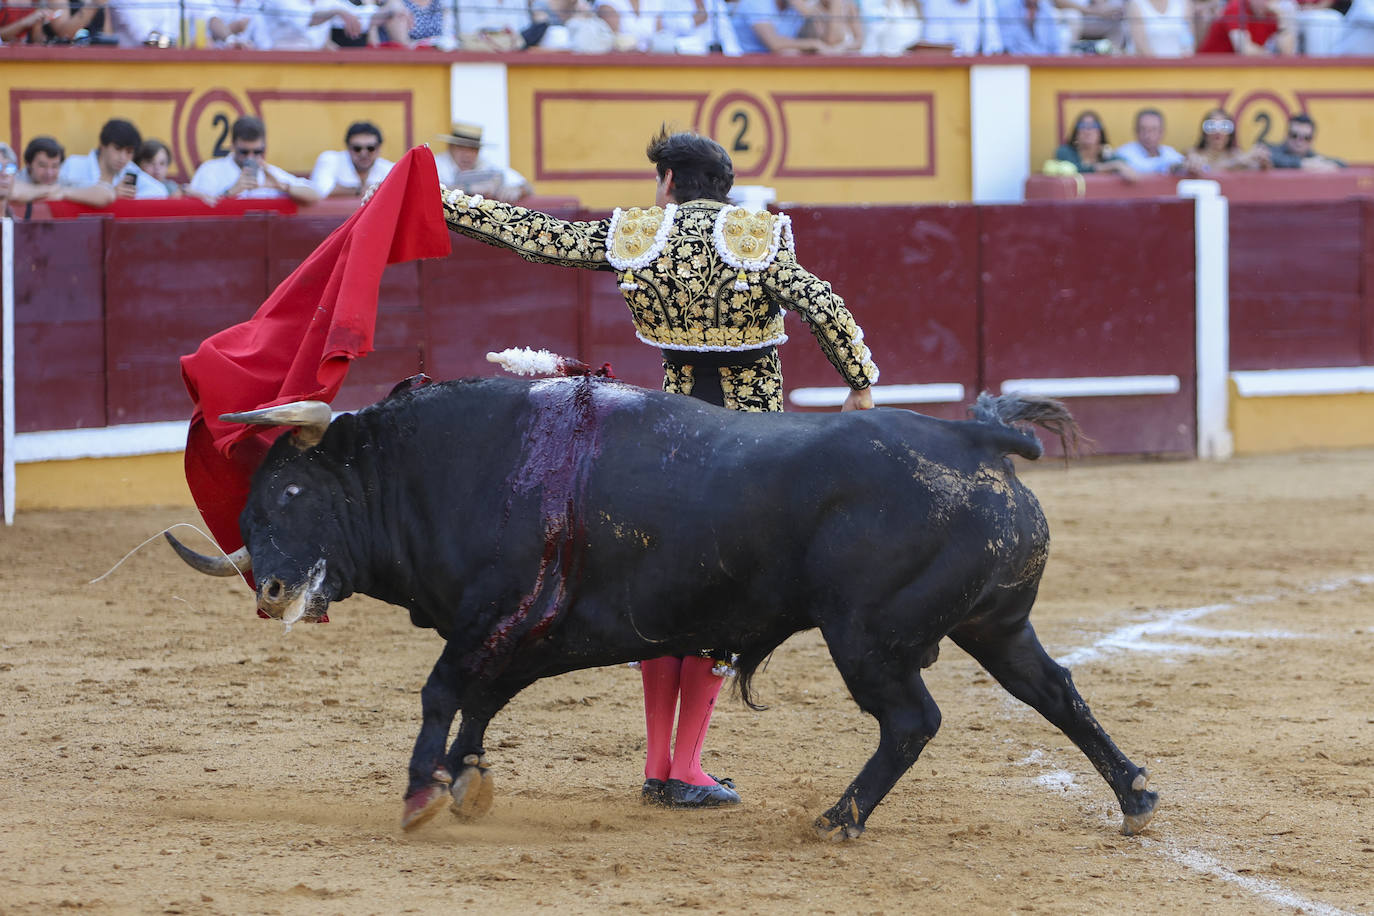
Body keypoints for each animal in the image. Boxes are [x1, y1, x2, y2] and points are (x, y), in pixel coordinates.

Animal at [169, 376, 1159, 840]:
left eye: (291, 492)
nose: (270, 590)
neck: (436, 470)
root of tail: (972, 437)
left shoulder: (492, 621)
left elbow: (442, 695)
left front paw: (420, 794)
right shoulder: (514, 635)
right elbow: (478, 703)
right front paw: (465, 782)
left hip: (869, 638)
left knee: (912, 721)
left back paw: (838, 820)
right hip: (994, 624)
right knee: (1056, 690)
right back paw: (1138, 797)